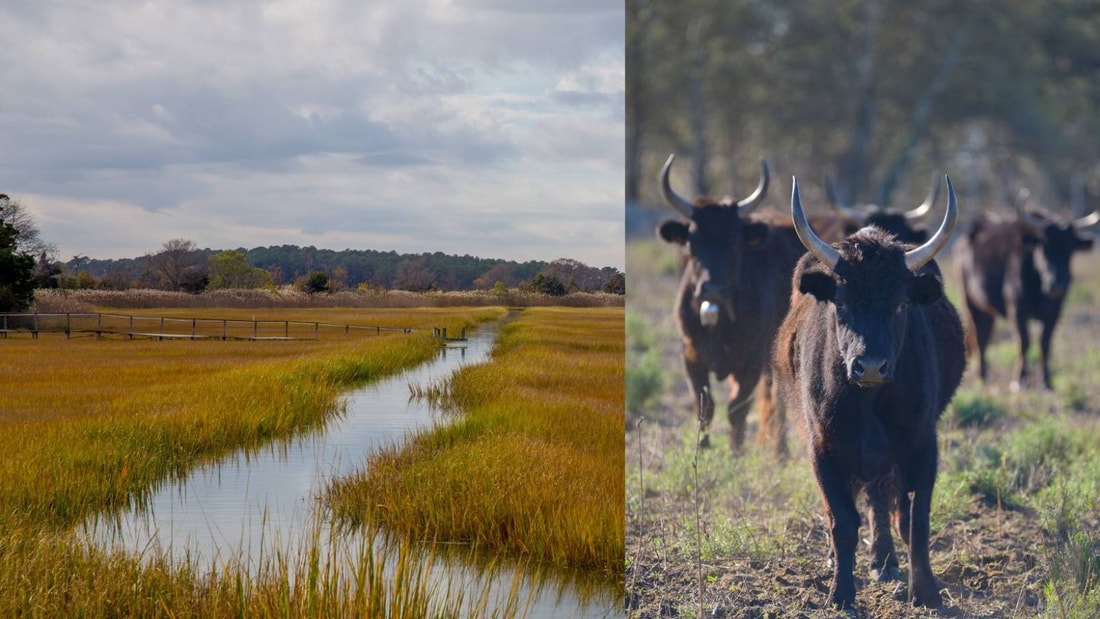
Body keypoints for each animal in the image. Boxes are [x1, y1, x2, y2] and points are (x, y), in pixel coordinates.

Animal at [655, 153, 805, 455]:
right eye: (691, 241)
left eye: (734, 241)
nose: (712, 289)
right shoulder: (690, 356)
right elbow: (705, 406)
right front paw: (702, 448)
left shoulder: (751, 360)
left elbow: (737, 408)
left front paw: (735, 453)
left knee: (777, 400)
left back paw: (779, 451)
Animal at [774, 175, 963, 611]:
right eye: (841, 302)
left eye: (901, 303)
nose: (871, 366)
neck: (869, 402)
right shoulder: (823, 449)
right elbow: (843, 521)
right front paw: (841, 593)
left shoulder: (921, 446)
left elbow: (914, 519)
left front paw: (925, 591)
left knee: (882, 499)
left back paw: (885, 561)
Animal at [950, 207, 1095, 391]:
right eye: (1044, 247)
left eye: (1070, 250)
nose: (1057, 286)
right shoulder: (1017, 311)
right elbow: (1023, 342)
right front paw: (1019, 380)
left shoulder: (1054, 312)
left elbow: (1045, 344)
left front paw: (1046, 381)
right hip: (970, 302)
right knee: (980, 338)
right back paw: (981, 377)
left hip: (988, 310)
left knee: (985, 335)